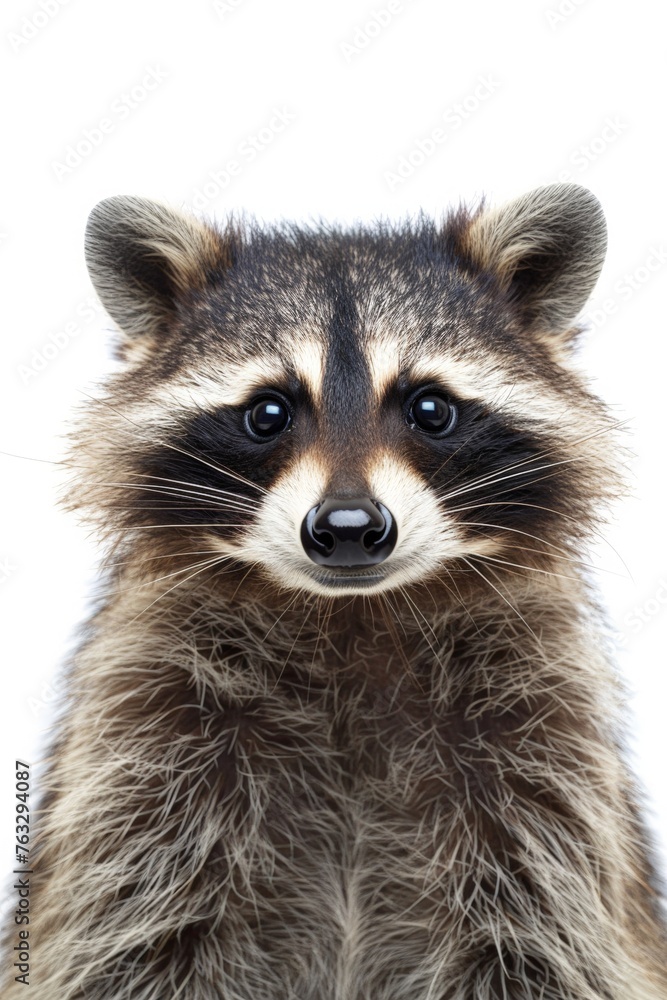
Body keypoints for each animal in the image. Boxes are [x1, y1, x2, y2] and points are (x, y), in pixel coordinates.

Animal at [3, 183, 666, 999]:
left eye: (430, 408)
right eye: (268, 412)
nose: (349, 527)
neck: (354, 617)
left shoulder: (544, 758)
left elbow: (542, 945)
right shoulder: (141, 747)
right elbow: (131, 939)